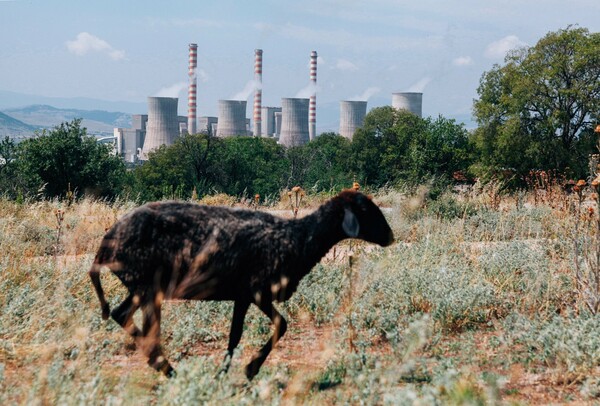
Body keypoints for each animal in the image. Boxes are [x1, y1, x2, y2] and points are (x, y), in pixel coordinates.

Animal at [89, 190, 394, 378]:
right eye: (364, 209)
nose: (390, 237)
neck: (298, 237)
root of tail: (104, 247)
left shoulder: (243, 296)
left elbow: (236, 335)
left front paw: (227, 372)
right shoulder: (257, 291)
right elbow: (280, 325)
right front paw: (248, 369)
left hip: (140, 288)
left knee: (120, 314)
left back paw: (159, 362)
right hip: (148, 287)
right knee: (146, 329)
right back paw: (165, 366)